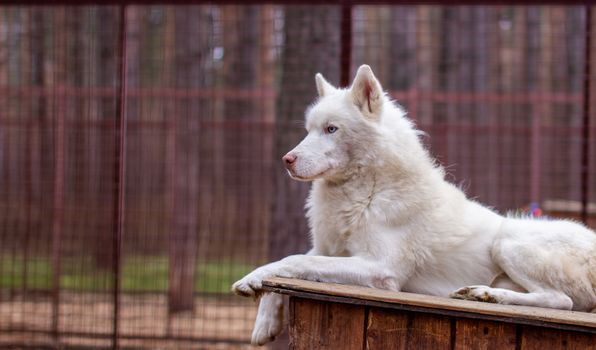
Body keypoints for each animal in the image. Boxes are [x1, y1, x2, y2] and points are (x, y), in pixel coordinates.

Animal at [233, 65, 596, 344]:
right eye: (309, 130)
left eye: (331, 129)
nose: (287, 160)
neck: (367, 191)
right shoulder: (332, 250)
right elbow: (288, 261)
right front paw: (260, 306)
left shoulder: (381, 270)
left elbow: (298, 260)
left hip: (507, 243)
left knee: (560, 301)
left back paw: (488, 295)